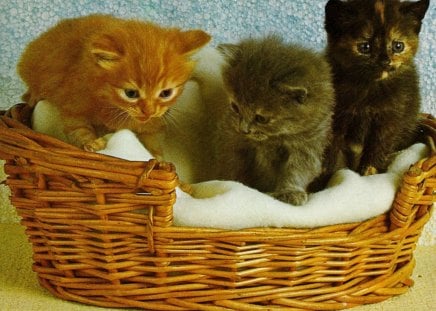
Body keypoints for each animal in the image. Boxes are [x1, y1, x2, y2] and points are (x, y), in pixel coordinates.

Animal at [18, 14, 211, 156]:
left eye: (166, 93)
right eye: (131, 93)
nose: (148, 111)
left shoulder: (152, 123)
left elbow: (152, 143)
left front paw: (160, 162)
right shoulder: (73, 104)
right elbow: (78, 129)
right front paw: (91, 142)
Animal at [209, 36, 336, 206]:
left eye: (261, 118)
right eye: (235, 107)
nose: (243, 129)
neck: (272, 140)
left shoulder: (308, 145)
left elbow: (299, 169)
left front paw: (291, 192)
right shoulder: (231, 140)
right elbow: (231, 165)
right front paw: (232, 184)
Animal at [324, 0, 430, 179]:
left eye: (398, 46)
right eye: (365, 47)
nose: (385, 61)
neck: (370, 87)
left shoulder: (390, 119)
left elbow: (378, 148)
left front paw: (369, 174)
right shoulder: (336, 117)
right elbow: (331, 151)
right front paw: (327, 178)